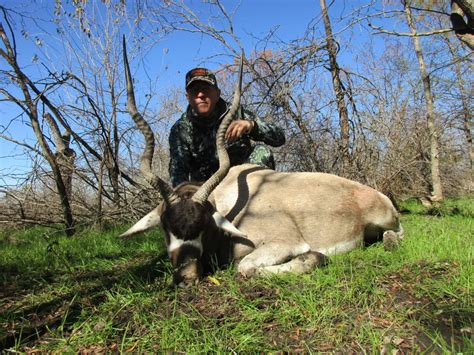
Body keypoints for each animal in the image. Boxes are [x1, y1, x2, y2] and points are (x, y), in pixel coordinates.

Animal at [119, 39, 404, 288]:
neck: (227, 206)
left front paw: (316, 256)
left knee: (397, 232)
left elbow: (246, 267)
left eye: (202, 225)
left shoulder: (285, 243)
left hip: (385, 220)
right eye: (166, 227)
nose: (185, 278)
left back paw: (389, 241)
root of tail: (377, 194)